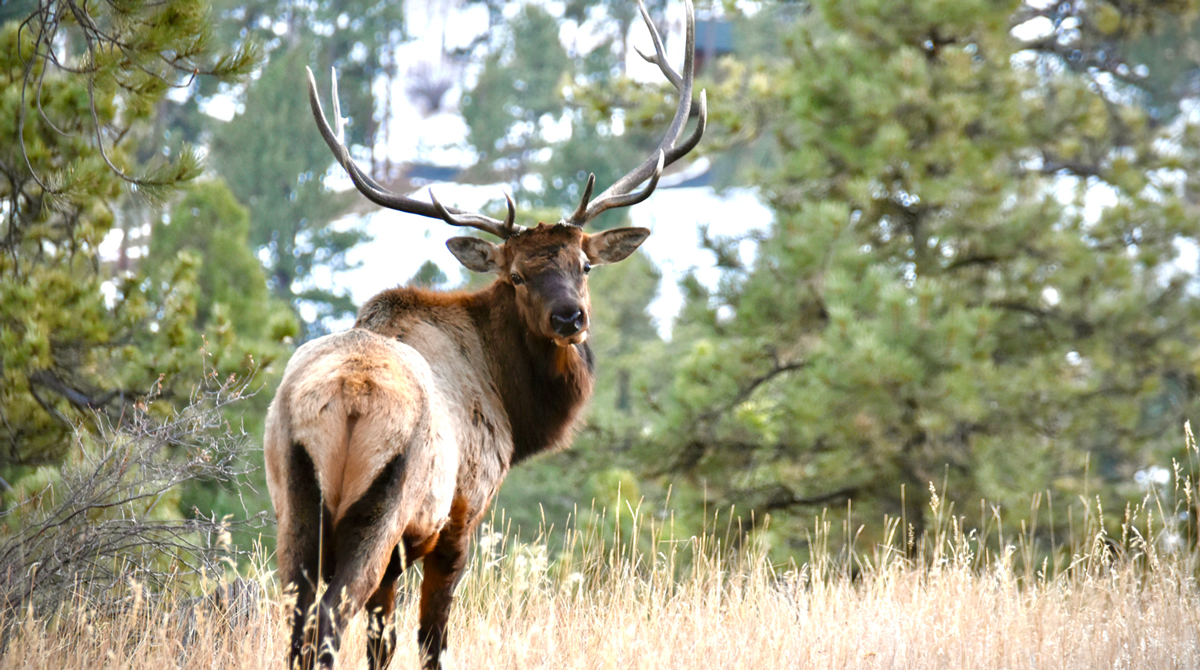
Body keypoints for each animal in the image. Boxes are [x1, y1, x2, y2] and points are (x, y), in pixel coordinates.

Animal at [262, 1, 705, 668]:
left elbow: (383, 644)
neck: (516, 411)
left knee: (298, 627)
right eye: (516, 275)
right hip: (379, 510)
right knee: (329, 624)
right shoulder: (459, 519)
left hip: (295, 510)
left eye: (585, 264)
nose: (570, 318)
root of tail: (344, 400)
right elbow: (431, 643)